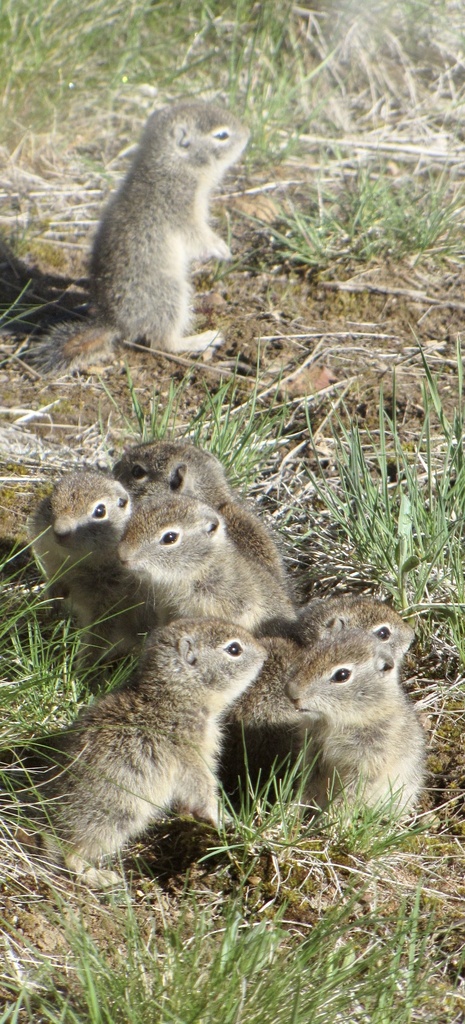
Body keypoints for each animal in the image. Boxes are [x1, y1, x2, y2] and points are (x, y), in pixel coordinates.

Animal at [18, 619, 265, 887]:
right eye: (234, 649)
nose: (265, 653)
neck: (176, 694)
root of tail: (49, 825)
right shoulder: (192, 758)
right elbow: (203, 793)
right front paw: (226, 820)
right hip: (117, 817)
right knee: (72, 855)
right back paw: (102, 877)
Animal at [27, 101, 249, 374]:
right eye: (221, 135)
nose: (249, 133)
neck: (171, 165)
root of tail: (113, 322)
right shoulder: (180, 209)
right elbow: (198, 237)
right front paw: (221, 248)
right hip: (169, 295)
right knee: (163, 342)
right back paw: (202, 339)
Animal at [27, 470, 152, 666]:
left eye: (100, 511)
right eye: (50, 504)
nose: (60, 531)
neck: (80, 563)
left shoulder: (112, 606)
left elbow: (98, 639)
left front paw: (82, 667)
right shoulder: (55, 569)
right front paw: (53, 607)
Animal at [287, 630, 425, 815]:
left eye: (342, 675)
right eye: (309, 653)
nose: (291, 692)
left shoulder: (369, 761)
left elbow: (351, 793)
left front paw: (333, 817)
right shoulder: (313, 753)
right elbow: (309, 784)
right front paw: (293, 809)